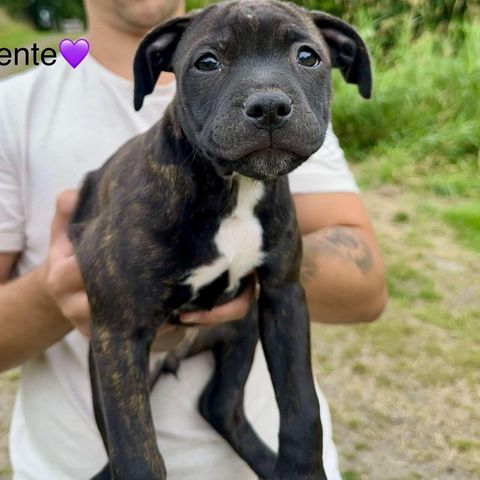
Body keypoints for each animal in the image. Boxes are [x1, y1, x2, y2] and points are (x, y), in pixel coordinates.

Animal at [69, 1, 374, 478]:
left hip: (242, 327)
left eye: (308, 57)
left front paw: (302, 468)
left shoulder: (283, 296)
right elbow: (137, 454)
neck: (234, 189)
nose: (269, 106)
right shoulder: (117, 335)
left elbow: (302, 408)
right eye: (207, 63)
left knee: (219, 405)